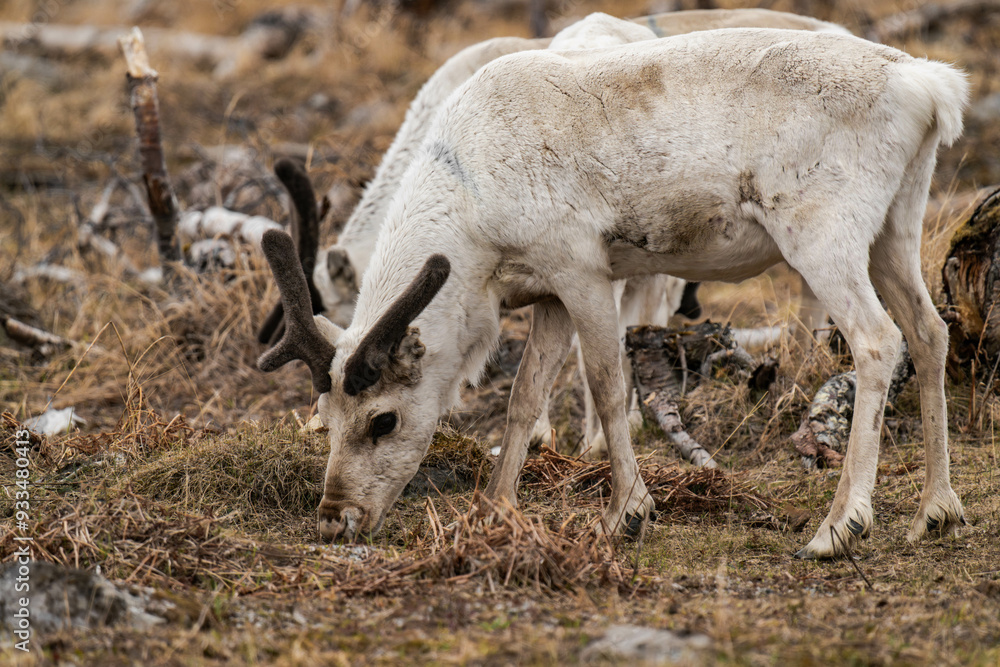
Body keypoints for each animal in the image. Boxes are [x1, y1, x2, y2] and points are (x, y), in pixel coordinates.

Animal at [257, 27, 969, 559]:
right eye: (324, 418)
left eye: (383, 419)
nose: (335, 520)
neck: (472, 211)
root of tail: (930, 87)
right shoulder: (544, 291)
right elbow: (523, 398)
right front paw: (495, 511)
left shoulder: (582, 270)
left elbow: (604, 380)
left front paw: (627, 513)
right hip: (895, 228)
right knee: (930, 331)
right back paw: (937, 510)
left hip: (824, 234)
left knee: (877, 341)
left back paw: (839, 527)